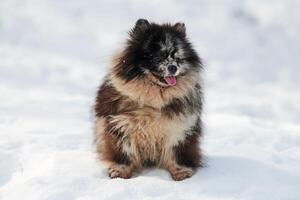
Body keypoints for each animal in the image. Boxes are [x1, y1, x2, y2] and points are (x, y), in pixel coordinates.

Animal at [95, 19, 203, 181]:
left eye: (176, 57)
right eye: (158, 56)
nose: (173, 67)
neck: (154, 98)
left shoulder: (179, 128)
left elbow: (175, 154)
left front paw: (181, 172)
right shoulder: (120, 126)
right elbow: (124, 153)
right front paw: (120, 172)